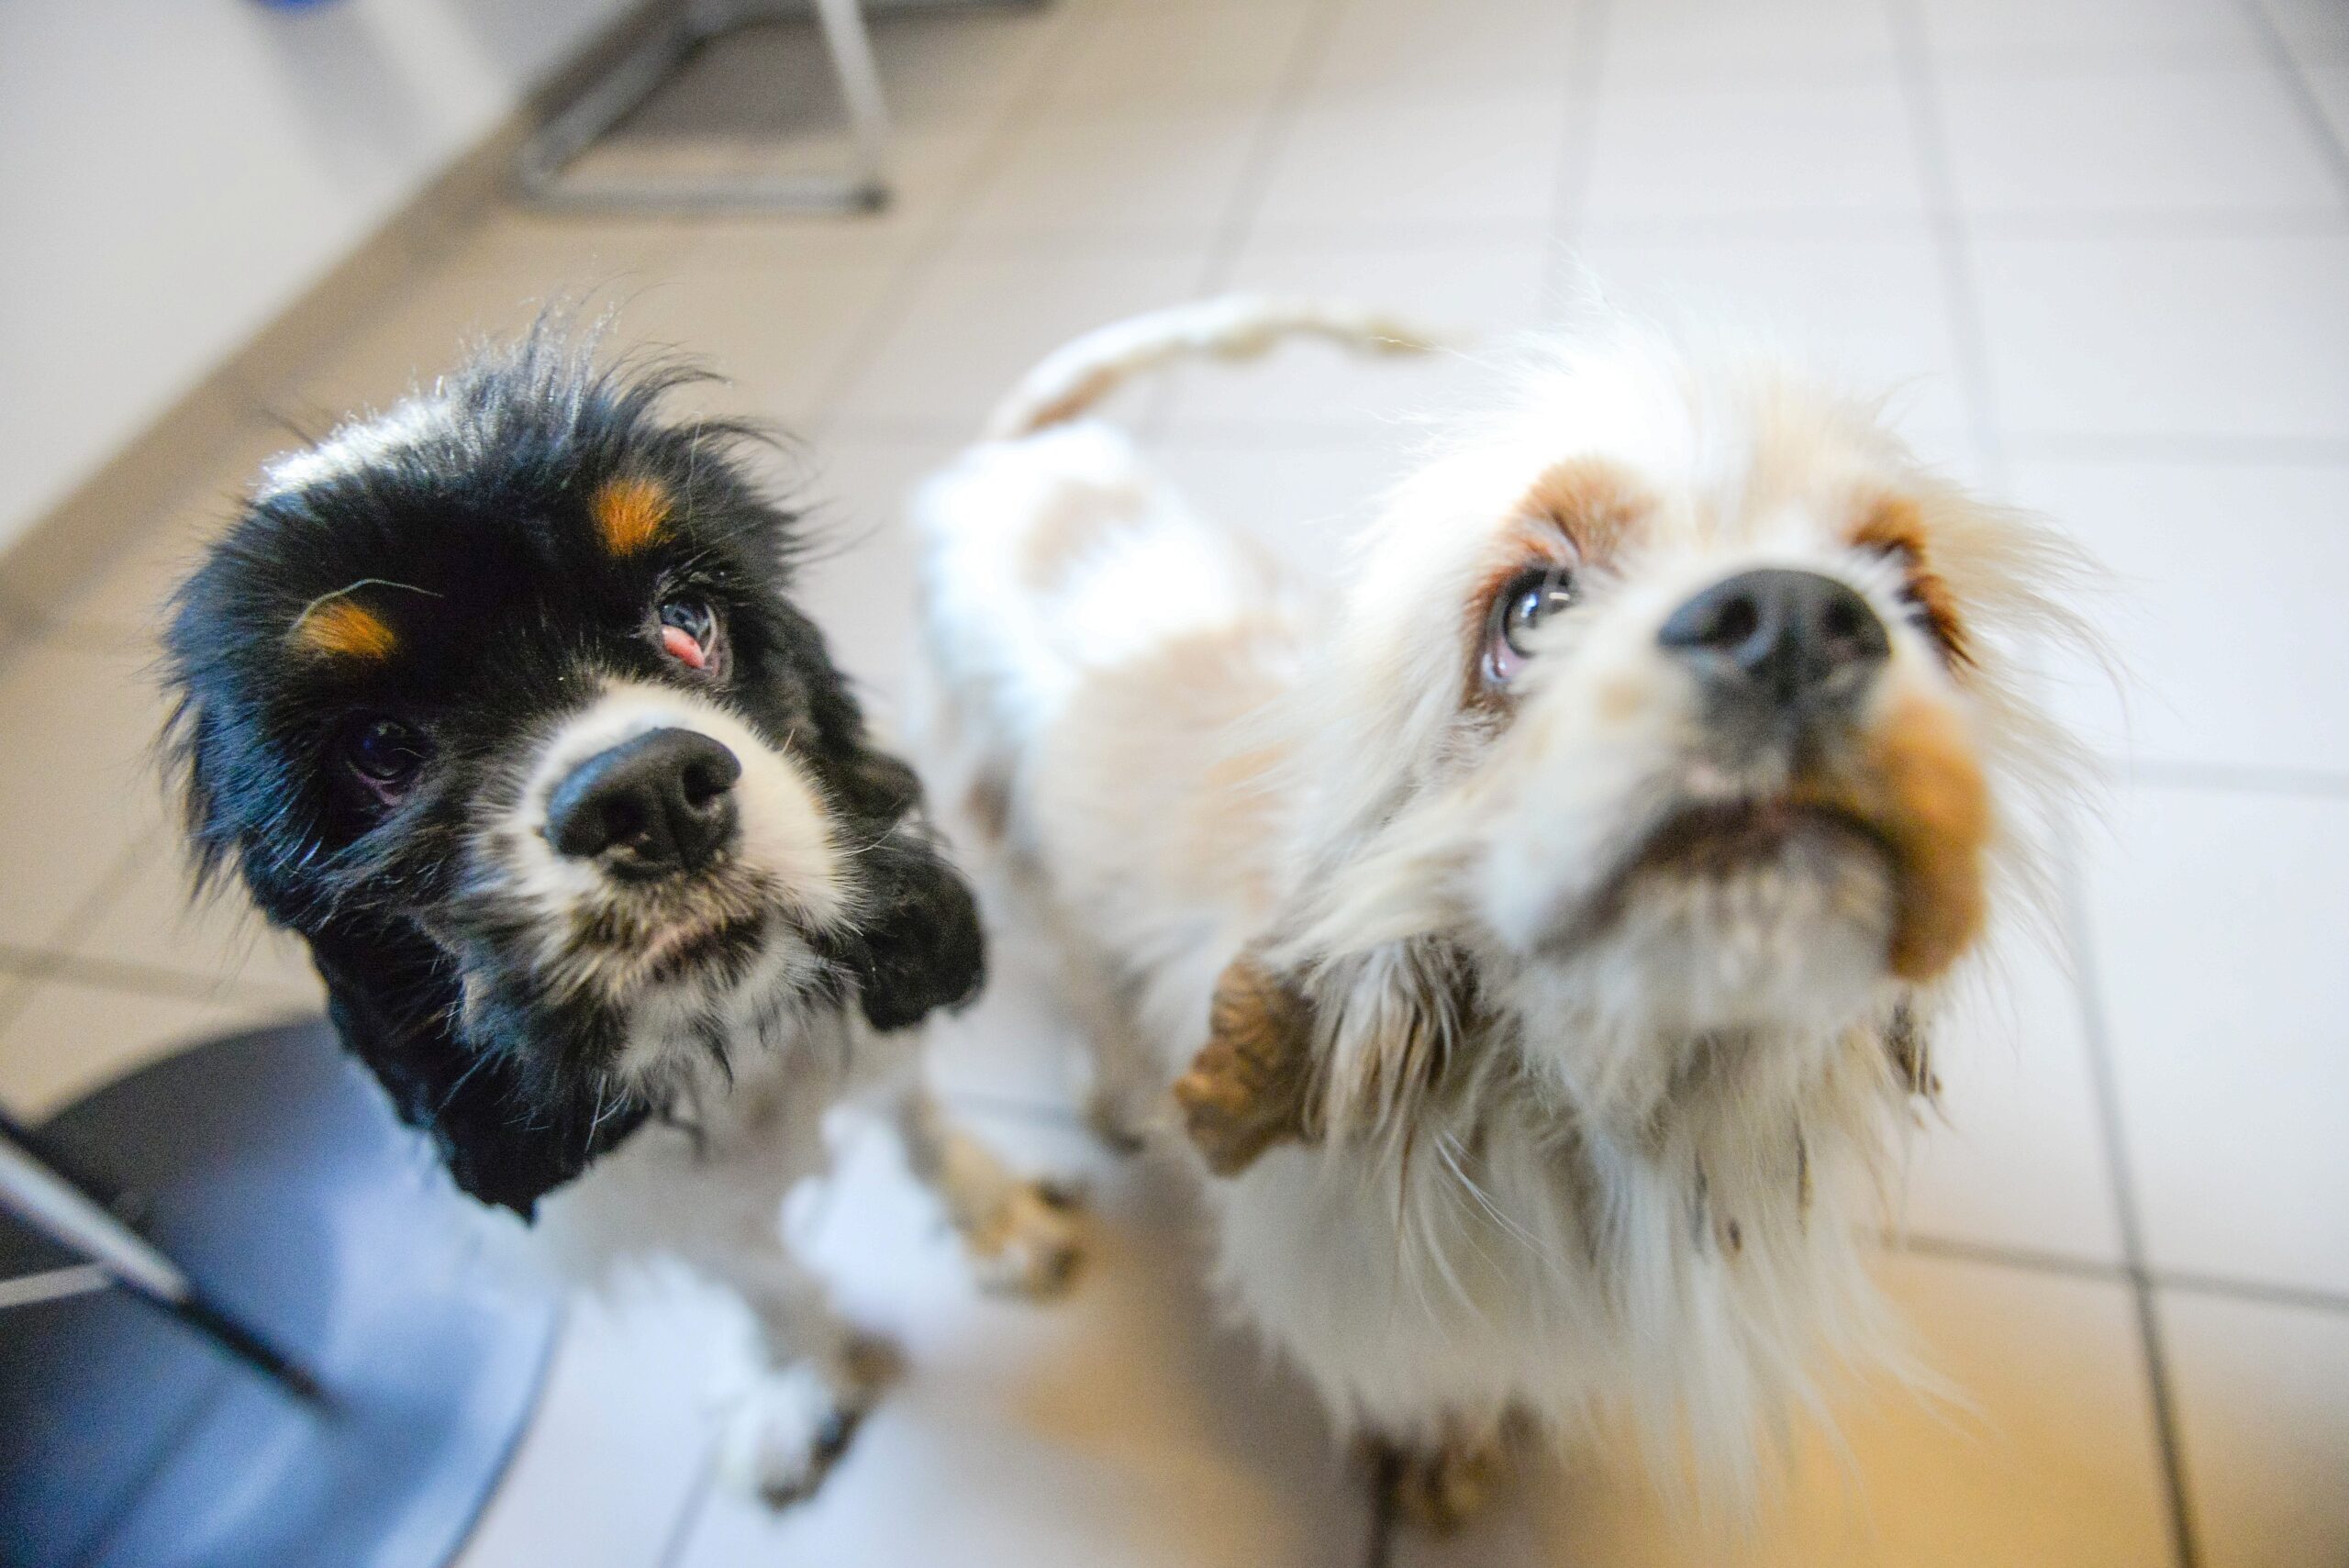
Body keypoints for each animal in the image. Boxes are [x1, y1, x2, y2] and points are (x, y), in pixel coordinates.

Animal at [165, 330, 1080, 1502]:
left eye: (686, 620)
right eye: (378, 750)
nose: (648, 793)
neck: (724, 1048)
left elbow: (916, 1120)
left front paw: (994, 1213)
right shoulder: (649, 1200)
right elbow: (757, 1278)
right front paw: (794, 1375)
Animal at [907, 300, 2086, 1520]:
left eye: (1917, 605)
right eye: (1533, 606)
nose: (1794, 620)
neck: (1583, 1114)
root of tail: (1012, 460)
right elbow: (1421, 1387)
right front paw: (1433, 1461)